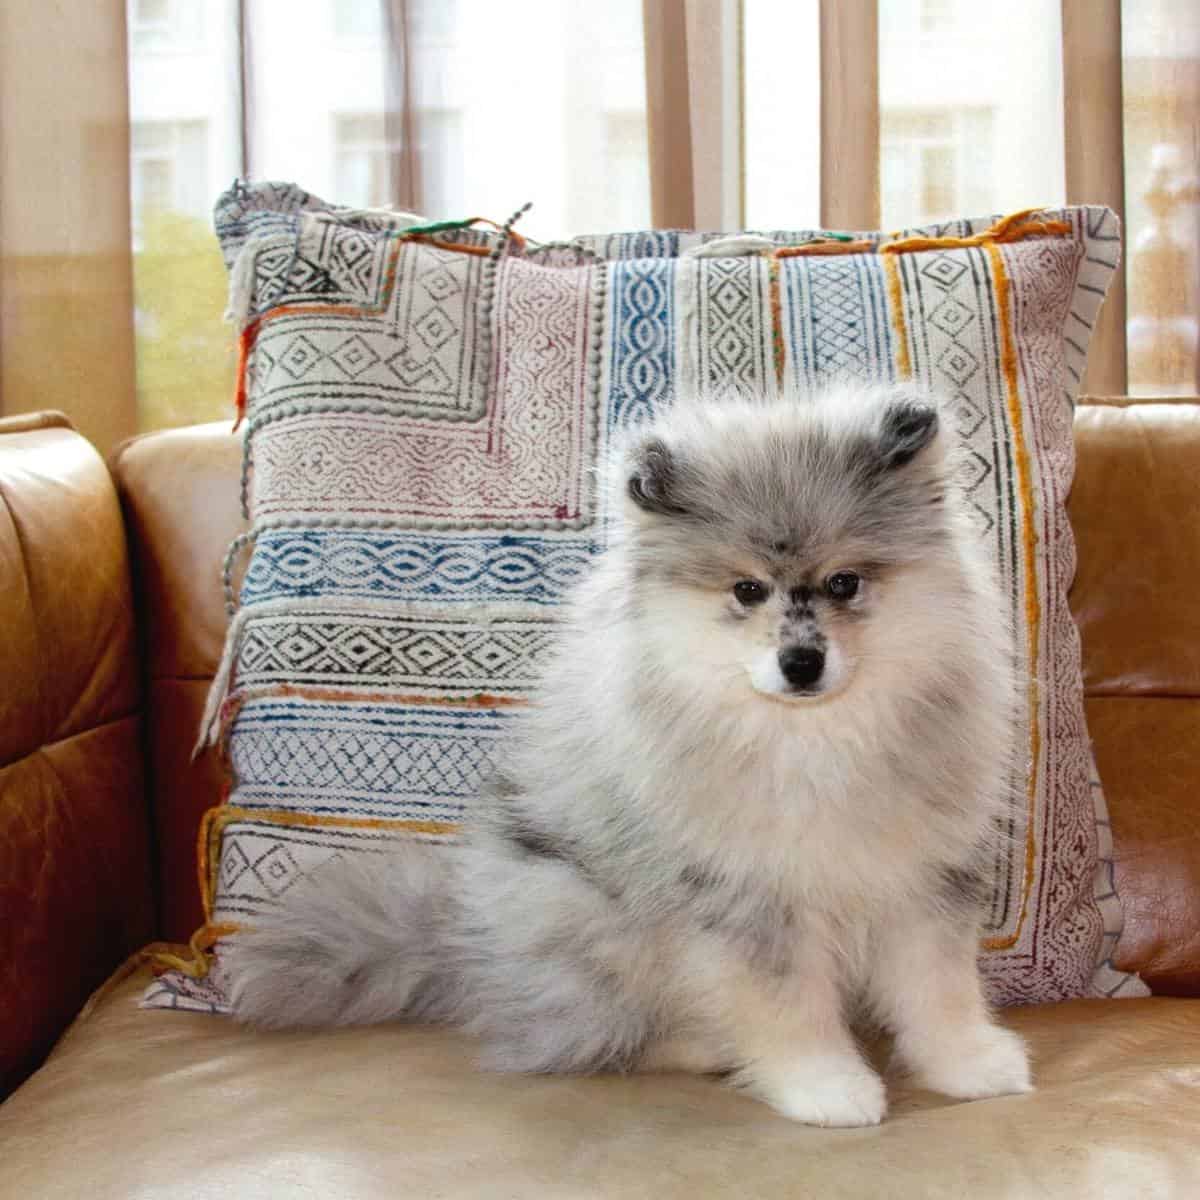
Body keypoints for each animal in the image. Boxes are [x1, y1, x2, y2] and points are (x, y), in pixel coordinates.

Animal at [225, 381, 1032, 1123]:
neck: (811, 737)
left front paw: (967, 1064)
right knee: (588, 1034)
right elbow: (788, 1005)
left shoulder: (924, 874)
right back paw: (704, 1046)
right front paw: (824, 1086)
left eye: (844, 581)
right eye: (747, 590)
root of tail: (456, 942)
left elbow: (938, 986)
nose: (802, 663)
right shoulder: (744, 897)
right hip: (584, 913)